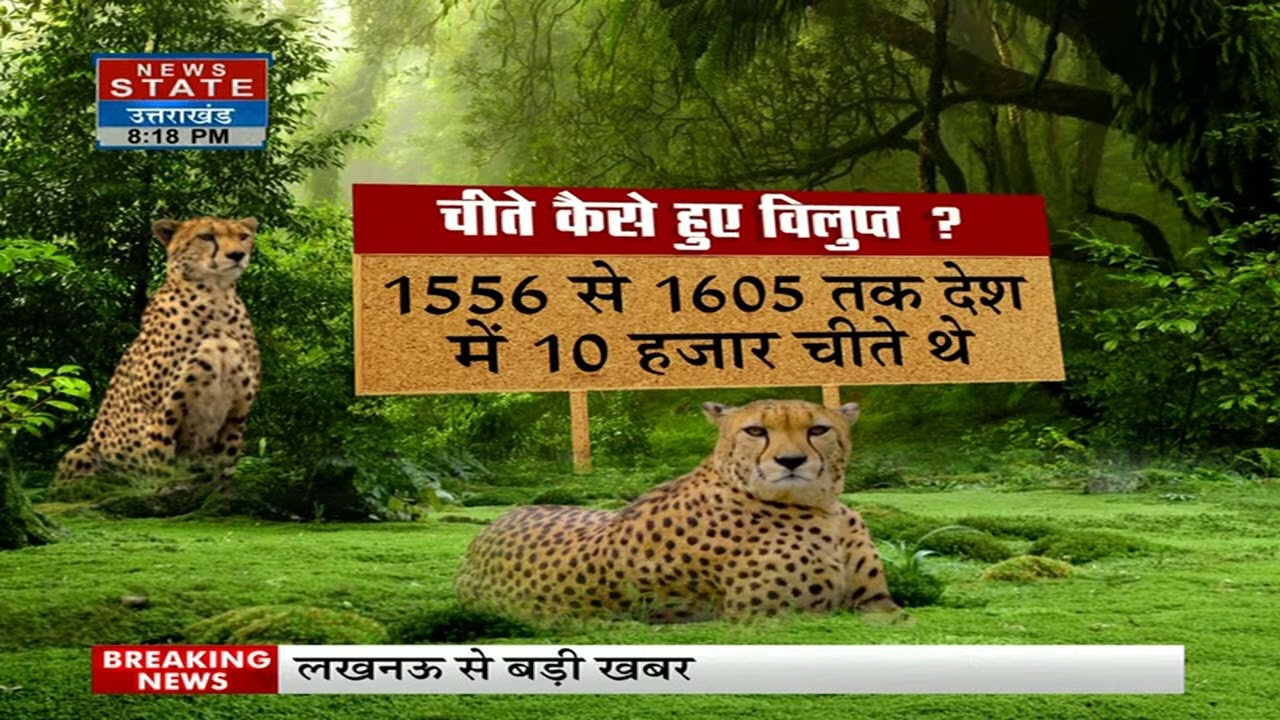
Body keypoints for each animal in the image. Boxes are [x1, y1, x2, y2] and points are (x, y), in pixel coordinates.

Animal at [54, 217, 262, 486]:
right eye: (206, 236)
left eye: (243, 236)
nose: (237, 255)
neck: (217, 299)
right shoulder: (160, 412)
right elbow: (162, 469)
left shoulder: (237, 413)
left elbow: (223, 474)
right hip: (82, 451)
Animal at [455, 398, 899, 623]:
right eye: (756, 430)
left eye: (818, 429)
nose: (791, 461)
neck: (822, 507)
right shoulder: (774, 619)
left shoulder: (878, 605)